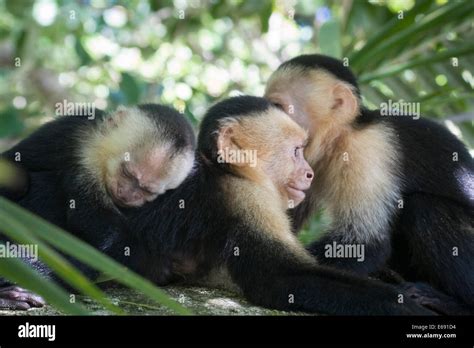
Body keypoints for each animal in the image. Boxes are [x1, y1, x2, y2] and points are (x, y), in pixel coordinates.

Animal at [0, 104, 196, 310]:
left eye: (147, 190)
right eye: (127, 173)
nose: (126, 194)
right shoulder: (85, 148)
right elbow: (96, 224)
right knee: (22, 182)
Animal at [113, 95, 432, 316]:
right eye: (296, 151)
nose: (309, 173)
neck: (233, 172)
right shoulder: (249, 196)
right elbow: (277, 278)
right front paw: (402, 302)